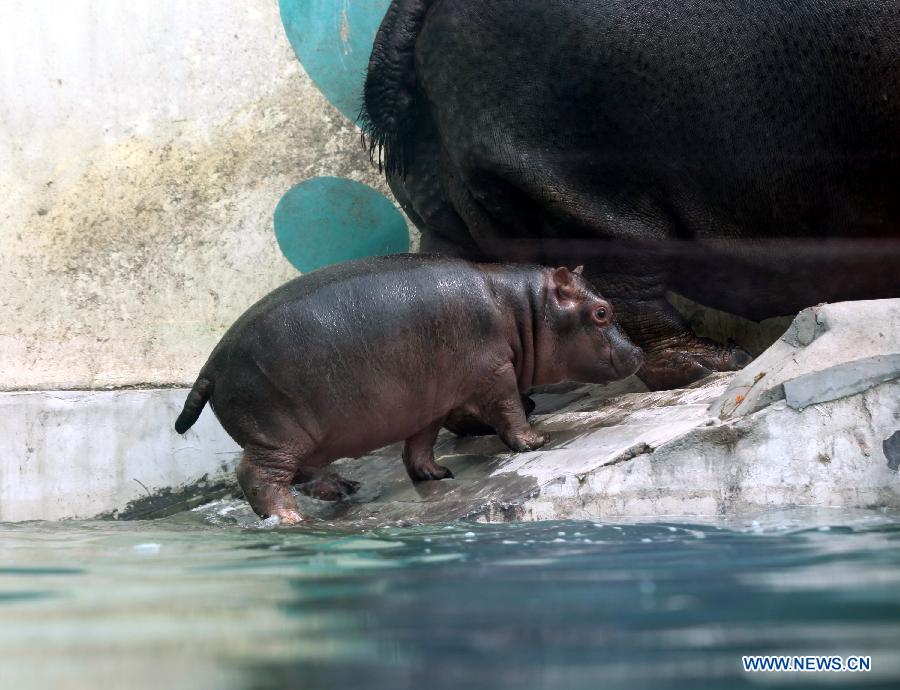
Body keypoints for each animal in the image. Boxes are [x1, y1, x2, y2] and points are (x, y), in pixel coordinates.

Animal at [174, 254, 642, 524]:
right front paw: (535, 442)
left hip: (308, 437)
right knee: (257, 475)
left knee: (305, 473)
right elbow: (509, 408)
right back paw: (290, 519)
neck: (523, 305)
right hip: (277, 434)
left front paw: (436, 474)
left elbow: (420, 444)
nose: (638, 351)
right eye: (602, 312)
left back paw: (344, 488)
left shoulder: (430, 401)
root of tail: (209, 366)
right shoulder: (496, 372)